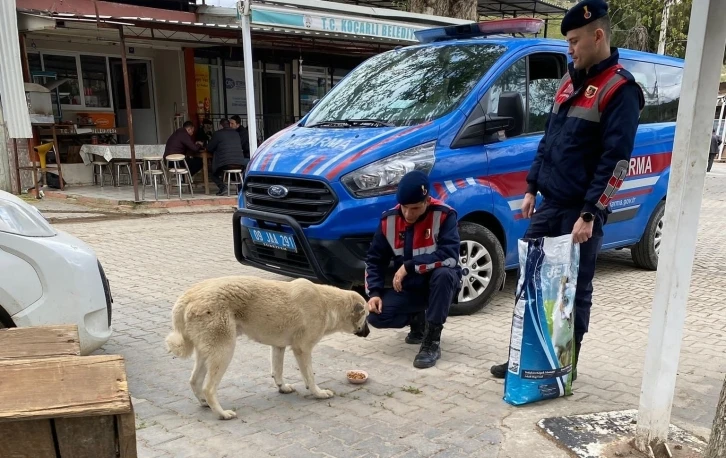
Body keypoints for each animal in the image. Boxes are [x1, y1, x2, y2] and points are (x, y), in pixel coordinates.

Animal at [165, 274, 370, 420]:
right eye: (366, 315)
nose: (368, 333)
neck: (327, 303)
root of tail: (189, 296)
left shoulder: (278, 347)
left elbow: (277, 371)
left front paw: (282, 387)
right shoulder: (302, 349)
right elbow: (310, 377)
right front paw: (318, 393)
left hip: (206, 353)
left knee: (194, 381)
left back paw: (203, 402)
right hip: (224, 352)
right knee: (208, 388)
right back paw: (222, 413)